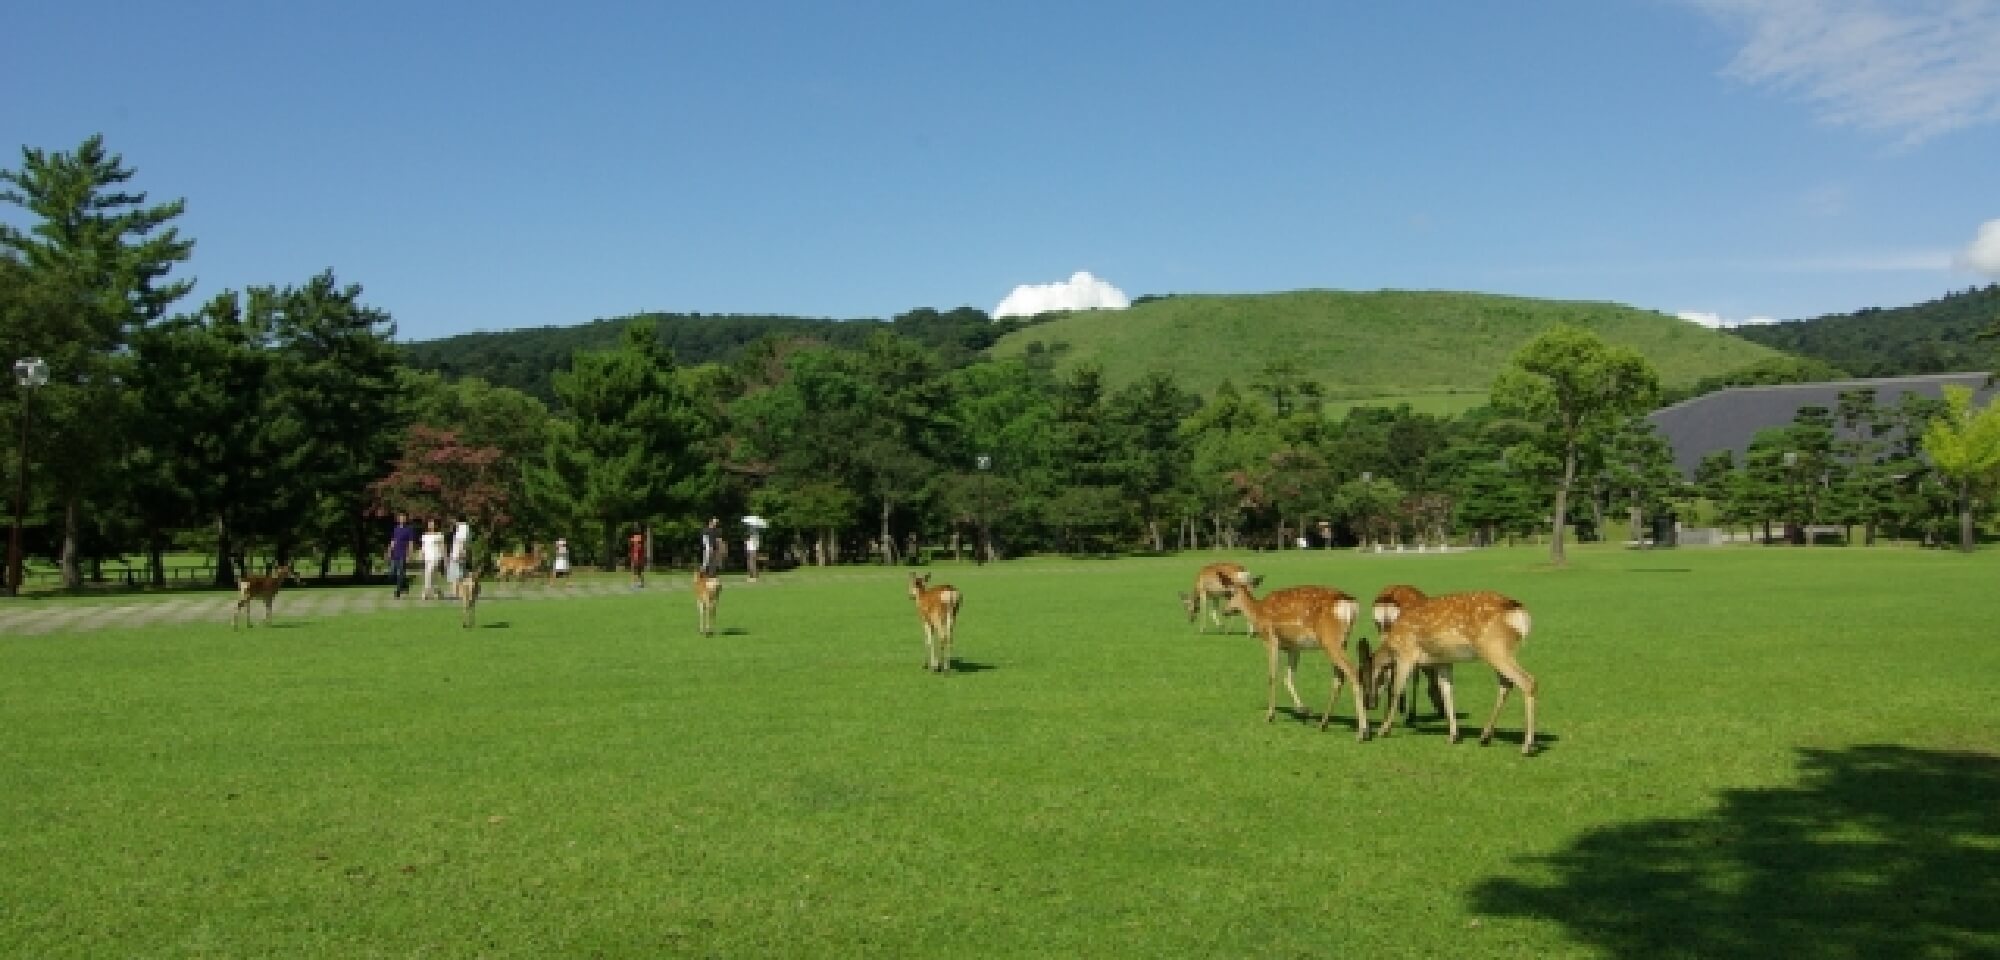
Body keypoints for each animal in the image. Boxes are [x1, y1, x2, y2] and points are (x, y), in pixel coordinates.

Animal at [1216, 576, 1376, 744]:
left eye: (1228, 593)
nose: (1225, 610)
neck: (1258, 613)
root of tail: (1351, 605)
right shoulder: (1294, 648)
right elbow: (1288, 678)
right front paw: (1303, 709)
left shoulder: (1271, 639)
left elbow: (1272, 676)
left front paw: (1269, 715)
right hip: (1341, 641)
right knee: (1339, 677)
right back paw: (1324, 723)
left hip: (1330, 640)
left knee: (1352, 673)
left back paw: (1362, 732)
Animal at [1368, 580, 1448, 724]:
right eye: (1437, 690)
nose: (1442, 712)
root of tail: (1389, 597)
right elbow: (1416, 676)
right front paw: (1411, 714)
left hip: (1381, 629)